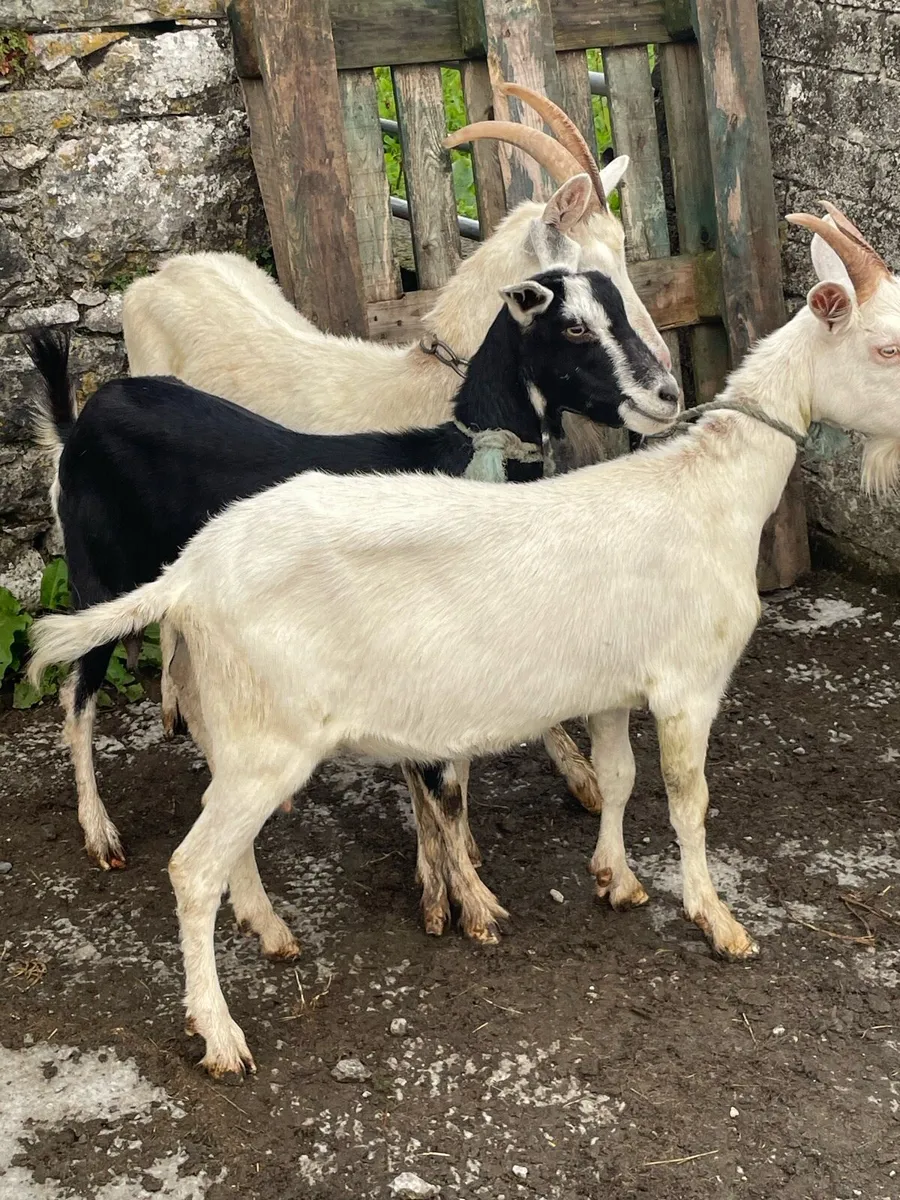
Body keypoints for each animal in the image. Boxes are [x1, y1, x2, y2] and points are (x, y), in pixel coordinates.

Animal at [27, 261, 680, 952]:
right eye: (574, 326)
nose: (667, 394)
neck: (461, 459)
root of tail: (82, 420)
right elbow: (439, 782)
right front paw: (464, 901)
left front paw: (447, 881)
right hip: (96, 577)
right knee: (77, 696)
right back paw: (100, 833)